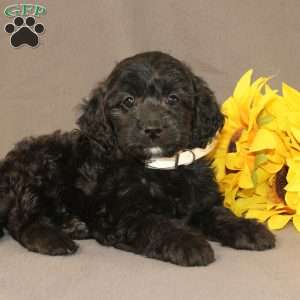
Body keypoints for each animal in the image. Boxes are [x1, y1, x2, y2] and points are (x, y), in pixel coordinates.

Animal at [0, 52, 276, 268]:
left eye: (173, 98)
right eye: (128, 101)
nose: (152, 129)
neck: (160, 168)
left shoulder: (201, 201)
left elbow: (220, 214)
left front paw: (248, 229)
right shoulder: (125, 216)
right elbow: (160, 225)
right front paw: (189, 243)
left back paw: (72, 226)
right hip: (39, 170)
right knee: (21, 221)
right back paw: (54, 239)